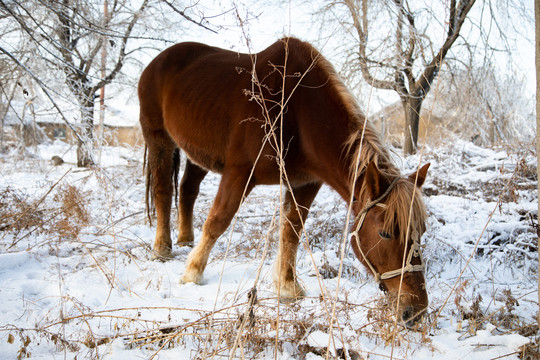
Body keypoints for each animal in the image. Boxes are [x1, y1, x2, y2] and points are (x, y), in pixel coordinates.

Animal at [138, 36, 430, 324]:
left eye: (422, 230)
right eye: (385, 233)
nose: (415, 310)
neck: (299, 110)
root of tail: (156, 62)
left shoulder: (305, 183)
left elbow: (292, 231)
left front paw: (287, 288)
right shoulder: (239, 173)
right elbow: (218, 221)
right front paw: (192, 273)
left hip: (199, 154)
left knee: (188, 189)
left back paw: (186, 239)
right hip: (159, 139)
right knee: (163, 191)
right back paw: (162, 248)